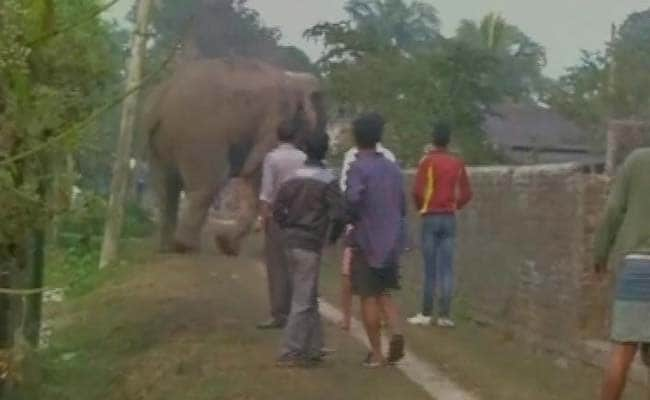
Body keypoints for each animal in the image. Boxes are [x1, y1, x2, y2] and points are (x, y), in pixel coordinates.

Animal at [142, 57, 324, 253]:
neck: (295, 77)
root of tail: (162, 98)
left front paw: (227, 246)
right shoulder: (274, 124)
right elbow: (259, 177)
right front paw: (227, 246)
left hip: (159, 139)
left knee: (165, 186)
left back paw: (167, 246)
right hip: (200, 135)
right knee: (207, 184)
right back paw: (185, 246)